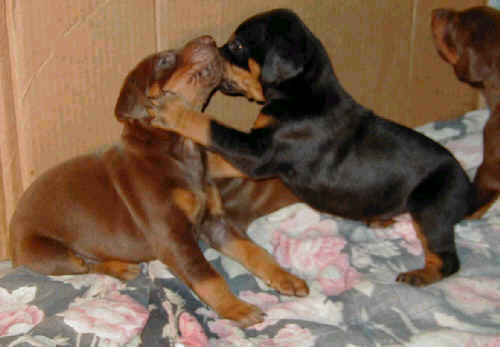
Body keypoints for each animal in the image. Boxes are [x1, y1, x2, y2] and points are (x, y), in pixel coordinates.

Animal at [8, 36, 304, 328]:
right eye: (164, 60)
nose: (209, 39)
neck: (181, 150)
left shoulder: (215, 222)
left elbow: (254, 251)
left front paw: (286, 277)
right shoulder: (172, 235)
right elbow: (206, 275)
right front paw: (236, 308)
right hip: (49, 253)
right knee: (83, 265)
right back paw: (119, 267)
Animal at [150, 10, 474, 288]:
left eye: (237, 45)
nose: (211, 48)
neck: (299, 91)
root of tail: (467, 189)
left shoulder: (260, 152)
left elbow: (213, 128)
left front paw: (172, 110)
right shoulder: (262, 151)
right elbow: (219, 157)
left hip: (430, 207)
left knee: (448, 259)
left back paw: (420, 275)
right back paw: (379, 218)